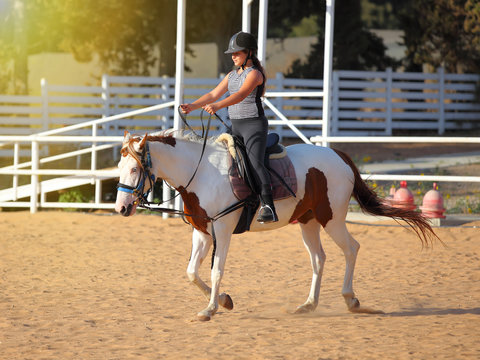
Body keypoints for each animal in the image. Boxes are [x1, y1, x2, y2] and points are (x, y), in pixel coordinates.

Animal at [116, 129, 438, 320]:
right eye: (120, 167)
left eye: (134, 169)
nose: (121, 207)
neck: (202, 172)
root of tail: (338, 155)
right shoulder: (202, 232)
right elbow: (192, 272)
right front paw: (223, 300)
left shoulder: (222, 231)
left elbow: (216, 270)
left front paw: (210, 308)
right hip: (308, 222)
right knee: (319, 259)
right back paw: (309, 304)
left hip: (332, 219)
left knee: (352, 249)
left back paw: (351, 300)